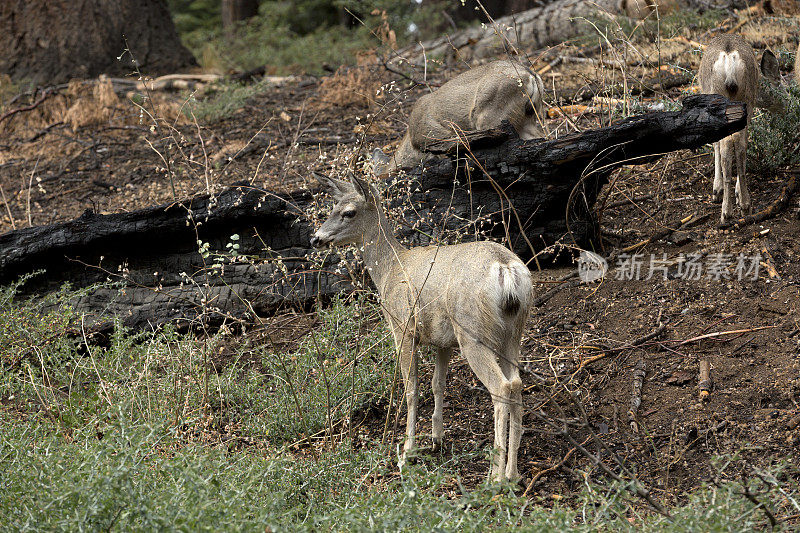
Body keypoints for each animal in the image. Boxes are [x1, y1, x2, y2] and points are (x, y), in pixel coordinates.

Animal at [310, 171, 532, 482]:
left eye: (348, 212)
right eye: (333, 207)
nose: (315, 238)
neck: (389, 269)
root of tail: (505, 269)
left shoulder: (402, 327)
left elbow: (412, 388)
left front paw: (406, 452)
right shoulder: (443, 340)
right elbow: (438, 384)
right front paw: (437, 439)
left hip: (472, 330)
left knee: (501, 386)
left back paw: (495, 477)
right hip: (513, 331)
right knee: (517, 384)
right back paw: (512, 473)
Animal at [700, 34, 780, 222]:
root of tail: (729, 60)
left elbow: (716, 145)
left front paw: (717, 189)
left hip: (717, 98)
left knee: (726, 146)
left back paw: (726, 212)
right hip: (746, 100)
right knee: (741, 144)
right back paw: (745, 204)